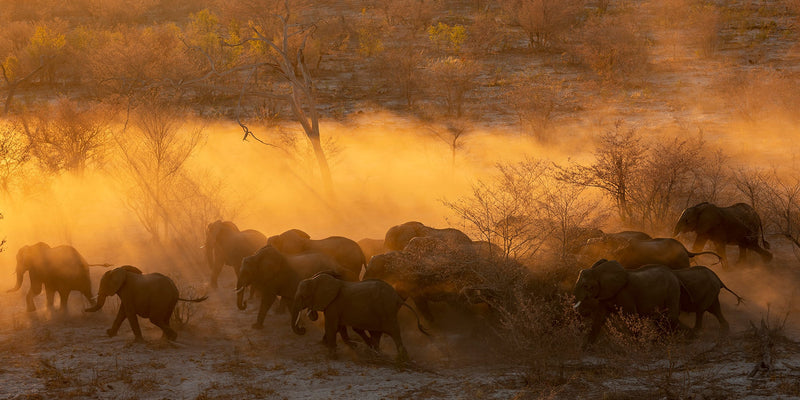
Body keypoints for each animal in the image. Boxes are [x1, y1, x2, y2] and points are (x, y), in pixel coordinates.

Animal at [288, 274, 424, 360]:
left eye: (303, 297)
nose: (303, 329)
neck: (314, 280)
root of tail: (397, 298)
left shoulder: (334, 305)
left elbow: (332, 326)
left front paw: (332, 356)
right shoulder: (335, 307)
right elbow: (340, 327)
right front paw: (352, 346)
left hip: (387, 311)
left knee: (394, 332)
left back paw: (402, 359)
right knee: (377, 333)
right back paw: (374, 353)